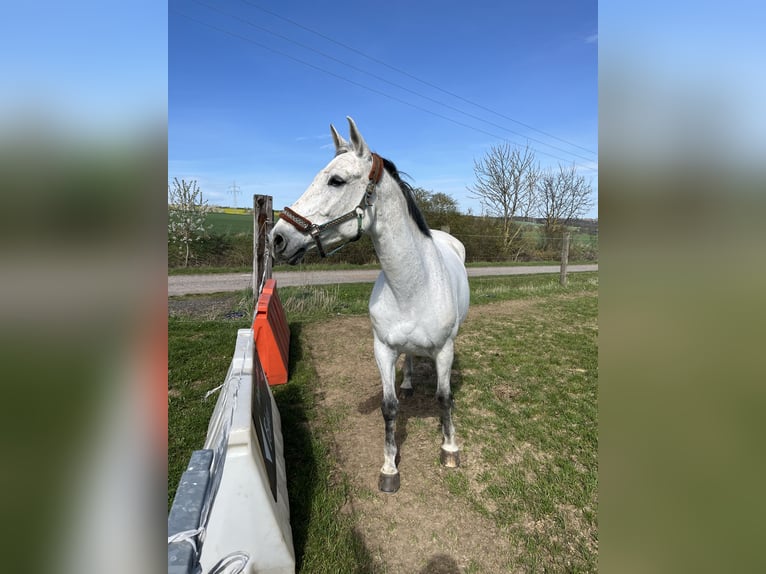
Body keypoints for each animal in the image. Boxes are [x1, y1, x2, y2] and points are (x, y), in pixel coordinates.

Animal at [270, 117, 470, 493]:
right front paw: (389, 468)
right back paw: (407, 384)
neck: (412, 286)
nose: (277, 238)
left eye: (336, 180)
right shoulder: (383, 349)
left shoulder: (444, 350)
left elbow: (444, 398)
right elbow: (389, 408)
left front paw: (449, 449)